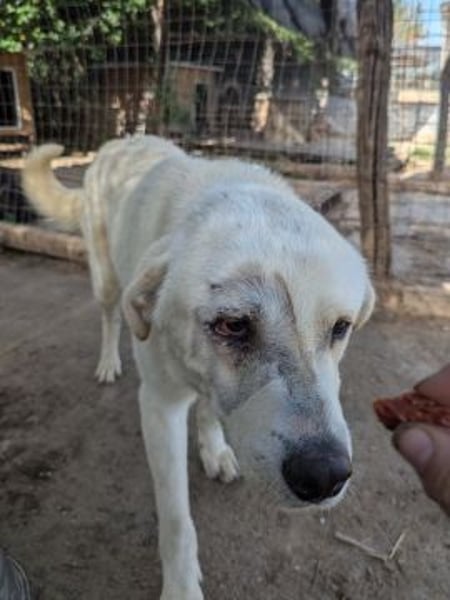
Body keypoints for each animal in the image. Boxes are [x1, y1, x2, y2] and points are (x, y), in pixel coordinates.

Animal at [23, 135, 374, 600]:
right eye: (232, 325)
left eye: (340, 327)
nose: (325, 476)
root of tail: (121, 141)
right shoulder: (159, 408)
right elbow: (176, 521)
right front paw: (181, 586)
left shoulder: (208, 383)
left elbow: (210, 409)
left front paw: (215, 449)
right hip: (106, 279)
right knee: (110, 316)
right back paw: (108, 361)